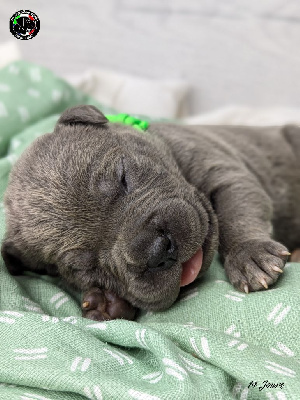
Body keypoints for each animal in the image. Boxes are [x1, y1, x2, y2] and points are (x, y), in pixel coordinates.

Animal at [1, 104, 298, 320]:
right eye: (83, 267)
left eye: (122, 177)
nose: (156, 252)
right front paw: (107, 302)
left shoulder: (226, 174)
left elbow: (236, 212)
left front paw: (249, 254)